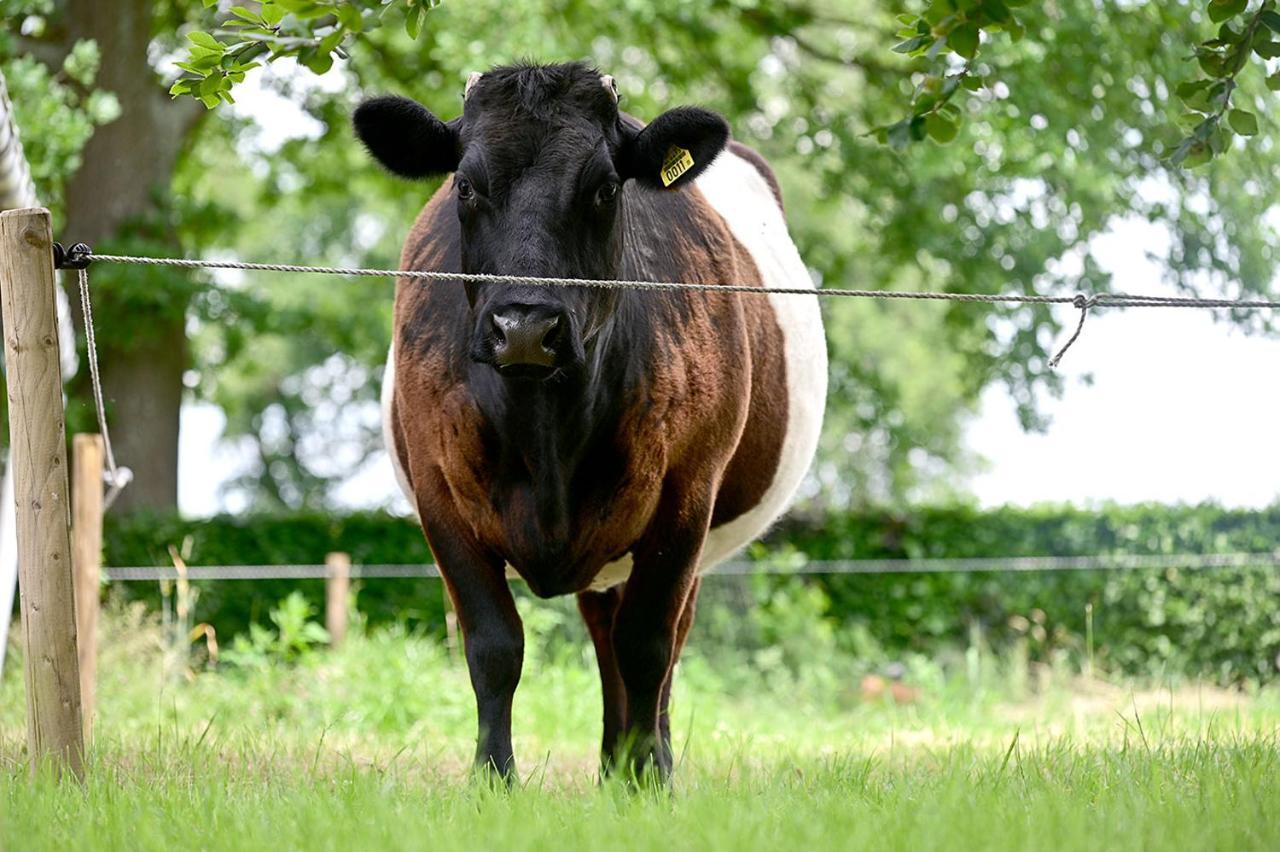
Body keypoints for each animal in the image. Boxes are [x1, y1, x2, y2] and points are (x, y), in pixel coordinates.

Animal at [353, 61, 829, 782]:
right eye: (465, 184)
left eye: (606, 187)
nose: (525, 327)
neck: (549, 434)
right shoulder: (440, 494)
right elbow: (494, 646)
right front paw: (493, 780)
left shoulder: (684, 497)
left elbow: (648, 647)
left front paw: (651, 779)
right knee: (605, 637)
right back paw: (613, 765)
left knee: (653, 647)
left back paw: (634, 764)